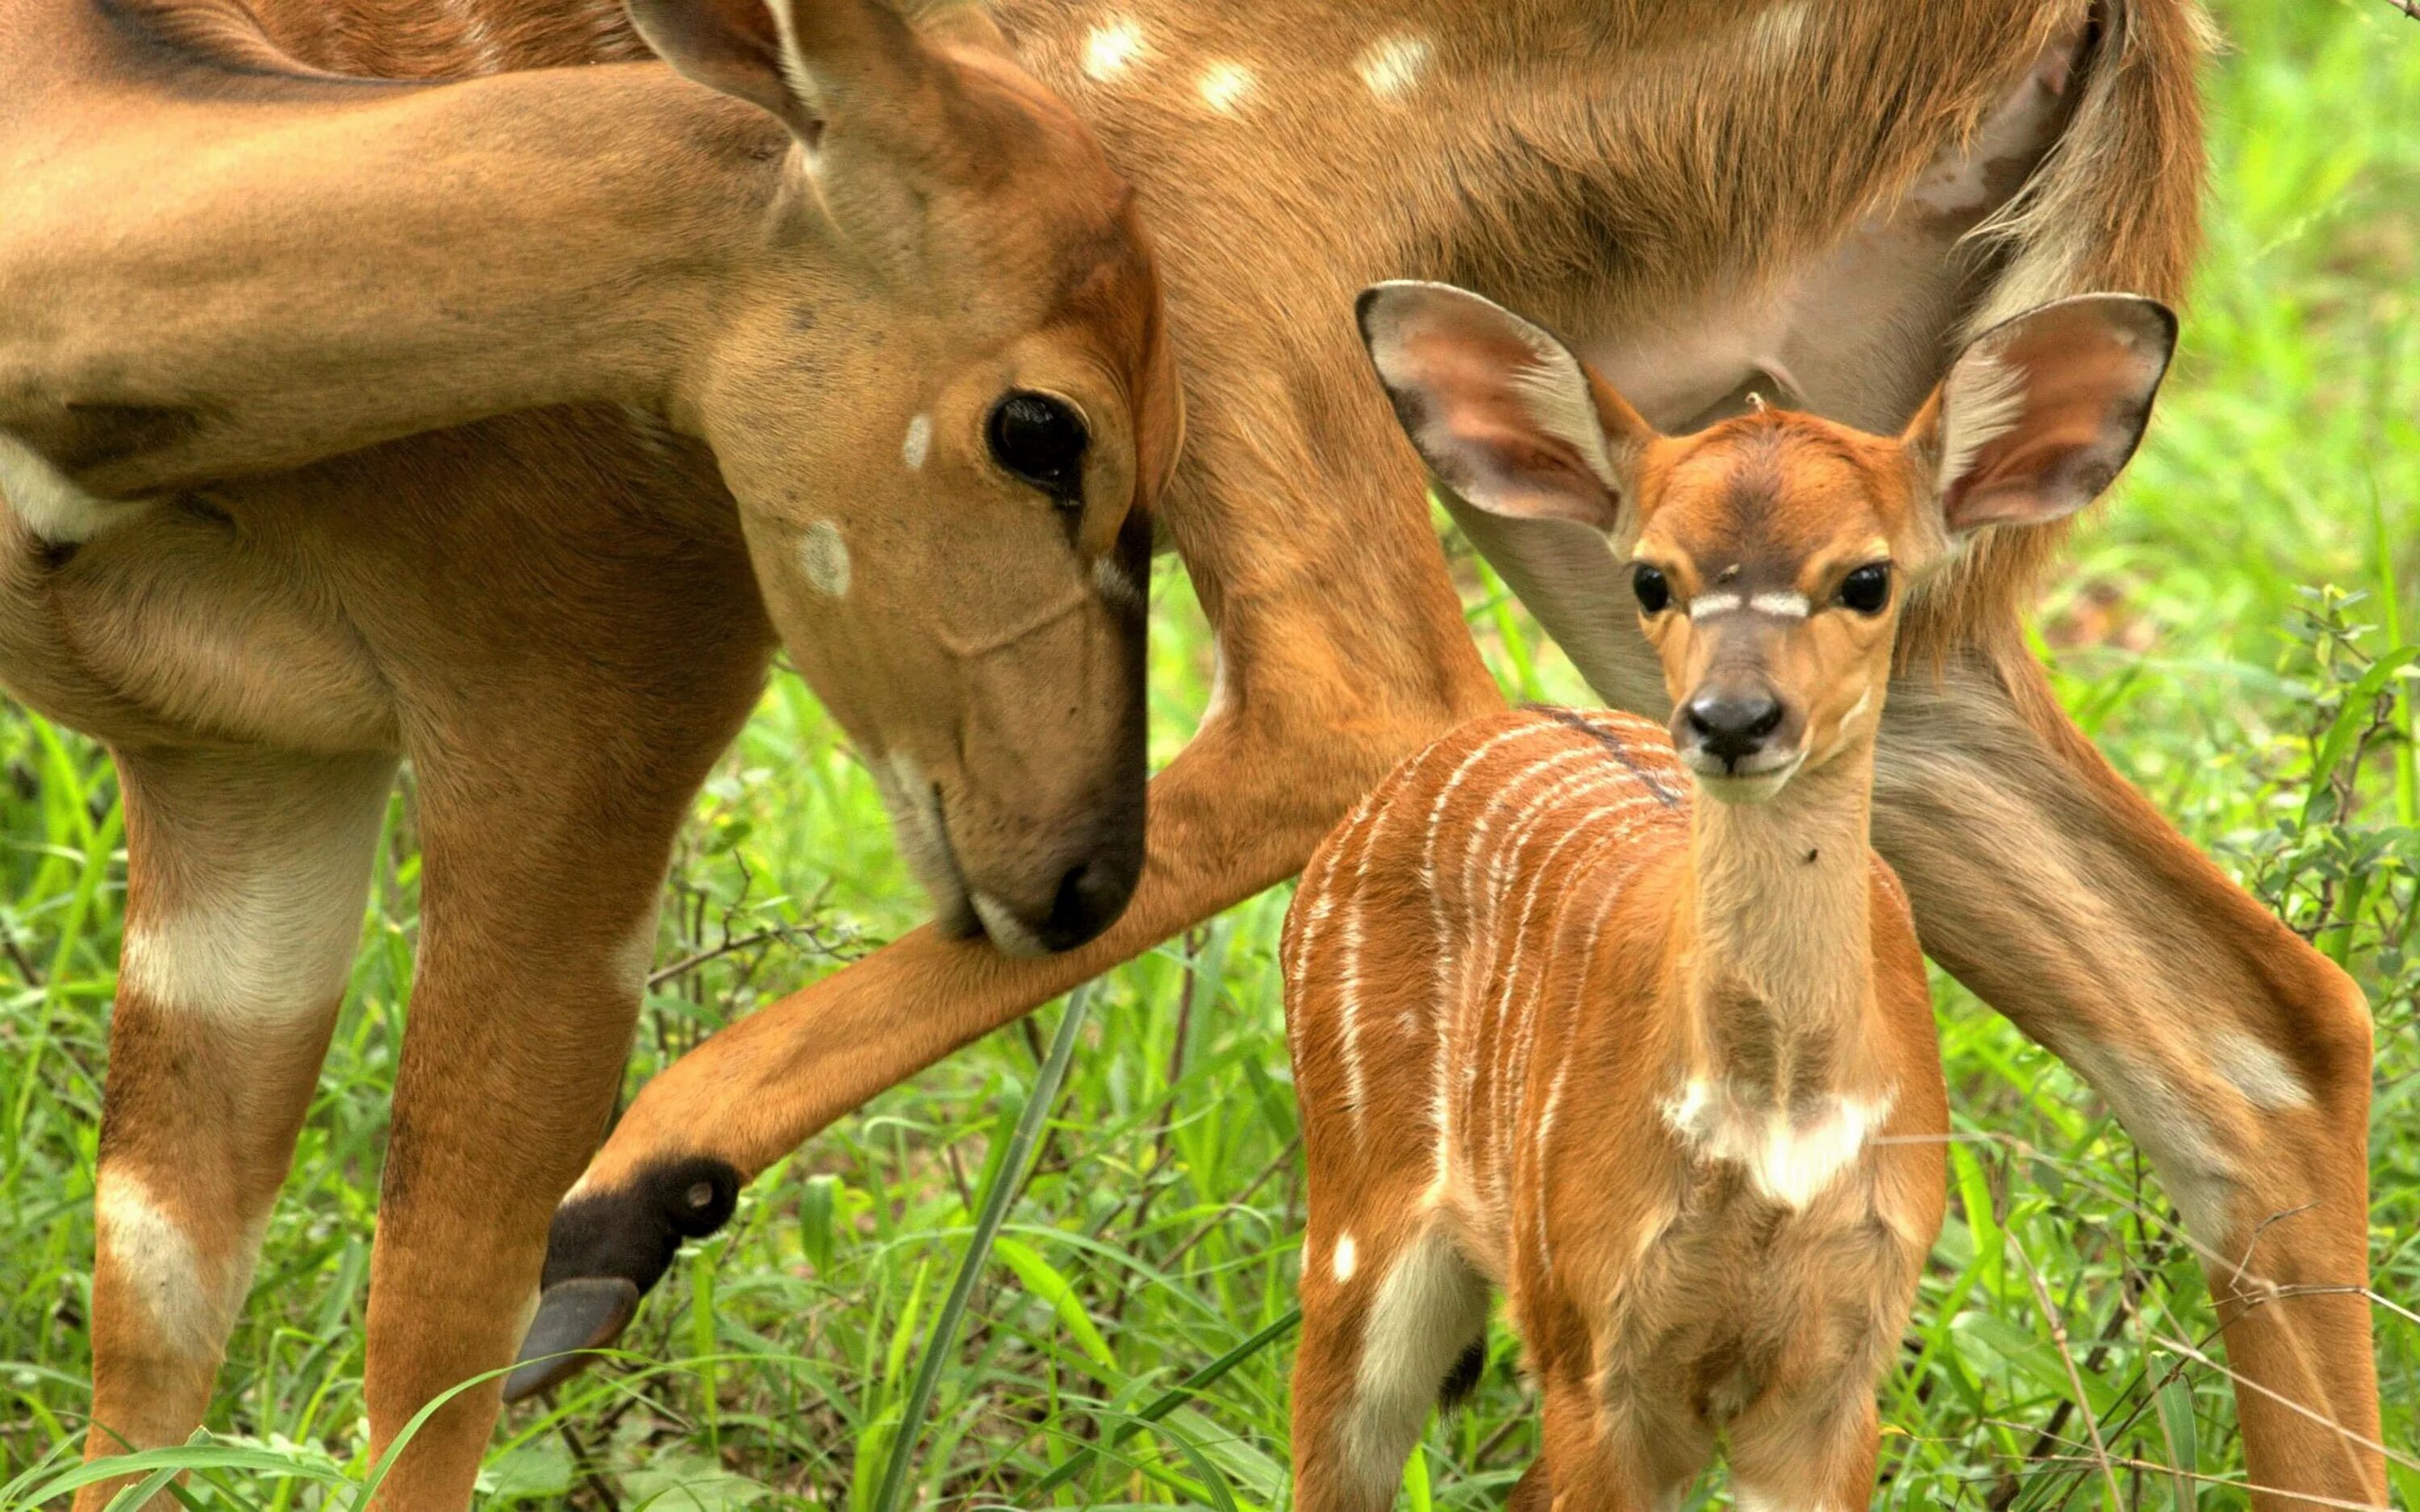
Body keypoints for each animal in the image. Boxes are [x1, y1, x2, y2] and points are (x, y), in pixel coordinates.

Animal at [0, 0, 1171, 1500]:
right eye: (1040, 426)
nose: (1089, 874)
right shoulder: (248, 755)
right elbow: (171, 1288)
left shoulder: (561, 707)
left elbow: (416, 1315)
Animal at [1287, 283, 2178, 1510]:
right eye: (1651, 578)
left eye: (1867, 578)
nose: (1732, 719)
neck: (1775, 1124)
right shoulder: (1598, 1347)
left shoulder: (1835, 1373)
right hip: (1361, 1229)